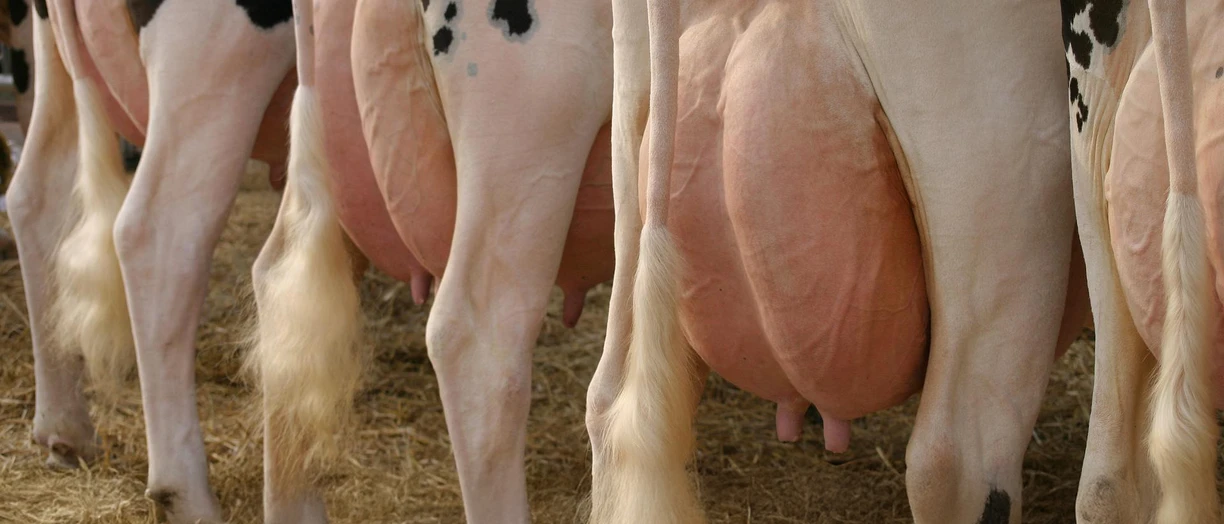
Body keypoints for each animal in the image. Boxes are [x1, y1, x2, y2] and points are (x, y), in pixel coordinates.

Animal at [4, 0, 312, 521]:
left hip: (54, 56)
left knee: (35, 197)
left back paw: (66, 430)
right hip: (217, 59)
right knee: (160, 232)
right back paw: (187, 495)